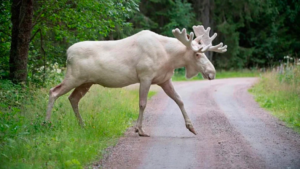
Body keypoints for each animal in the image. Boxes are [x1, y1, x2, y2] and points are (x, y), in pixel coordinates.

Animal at [45, 25, 226, 137]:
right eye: (197, 54)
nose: (212, 72)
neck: (169, 57)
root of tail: (67, 53)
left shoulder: (164, 80)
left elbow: (180, 100)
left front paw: (191, 127)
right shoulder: (145, 76)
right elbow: (142, 103)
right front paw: (140, 130)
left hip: (86, 82)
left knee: (73, 98)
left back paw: (82, 125)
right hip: (74, 77)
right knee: (53, 91)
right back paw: (47, 123)